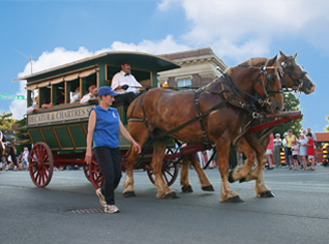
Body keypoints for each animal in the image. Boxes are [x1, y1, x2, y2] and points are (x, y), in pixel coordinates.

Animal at [122, 55, 282, 202]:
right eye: (271, 77)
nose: (278, 107)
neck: (227, 97)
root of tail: (138, 98)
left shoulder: (235, 138)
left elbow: (252, 155)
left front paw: (239, 175)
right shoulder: (222, 138)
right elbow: (223, 166)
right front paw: (228, 193)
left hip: (161, 137)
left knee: (156, 164)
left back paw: (165, 190)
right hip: (139, 135)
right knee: (130, 159)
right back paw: (129, 188)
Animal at [179, 51, 316, 198]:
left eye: (300, 65)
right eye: (290, 66)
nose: (312, 85)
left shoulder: (264, 136)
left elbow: (261, 158)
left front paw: (259, 185)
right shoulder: (249, 134)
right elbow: (260, 156)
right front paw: (241, 175)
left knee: (187, 155)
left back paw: (189, 183)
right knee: (189, 155)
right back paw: (201, 183)